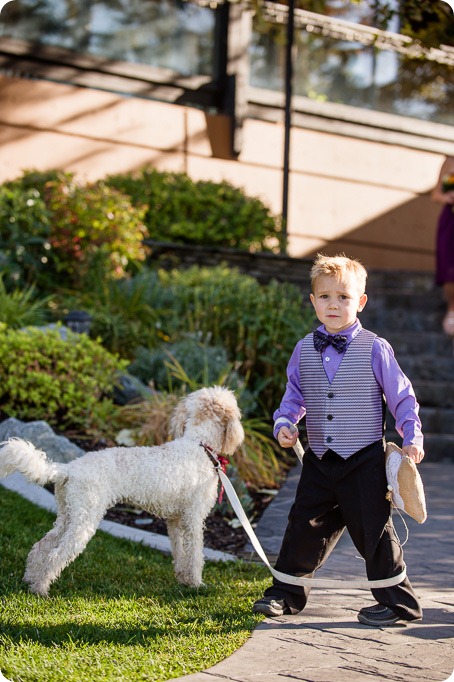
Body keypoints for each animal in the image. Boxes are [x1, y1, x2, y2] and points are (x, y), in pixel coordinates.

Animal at [0, 386, 245, 592]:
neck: (199, 444)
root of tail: (68, 468)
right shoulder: (193, 519)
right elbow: (194, 554)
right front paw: (195, 583)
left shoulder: (175, 520)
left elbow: (180, 552)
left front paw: (183, 578)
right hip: (85, 519)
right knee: (56, 554)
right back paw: (41, 589)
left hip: (67, 515)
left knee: (41, 547)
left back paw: (30, 579)